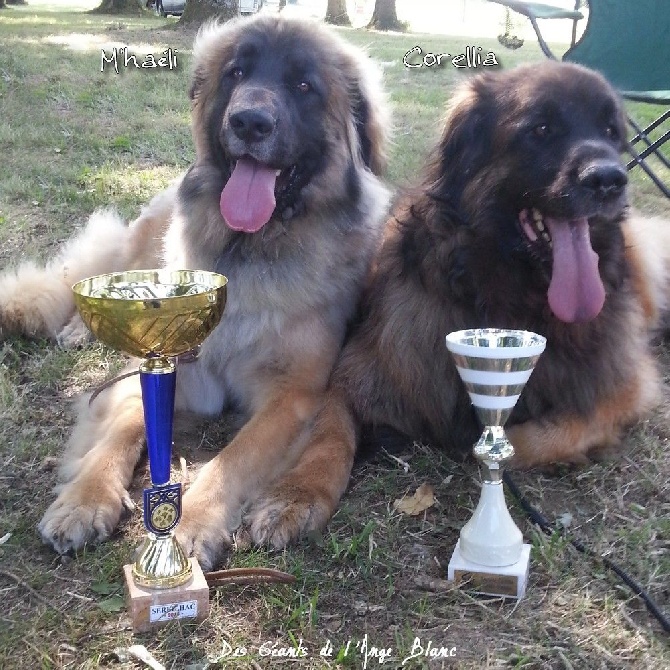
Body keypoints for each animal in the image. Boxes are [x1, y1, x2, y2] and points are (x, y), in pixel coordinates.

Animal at [0, 15, 388, 568]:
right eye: (236, 72)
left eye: (303, 85)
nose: (248, 123)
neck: (249, 253)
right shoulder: (170, 363)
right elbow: (123, 424)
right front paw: (85, 498)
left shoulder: (293, 395)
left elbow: (237, 455)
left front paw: (194, 521)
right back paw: (77, 329)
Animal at [244, 59, 670, 552]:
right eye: (542, 129)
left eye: (611, 130)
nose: (610, 179)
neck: (505, 298)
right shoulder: (361, 371)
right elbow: (328, 436)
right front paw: (295, 496)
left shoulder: (624, 387)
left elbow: (547, 433)